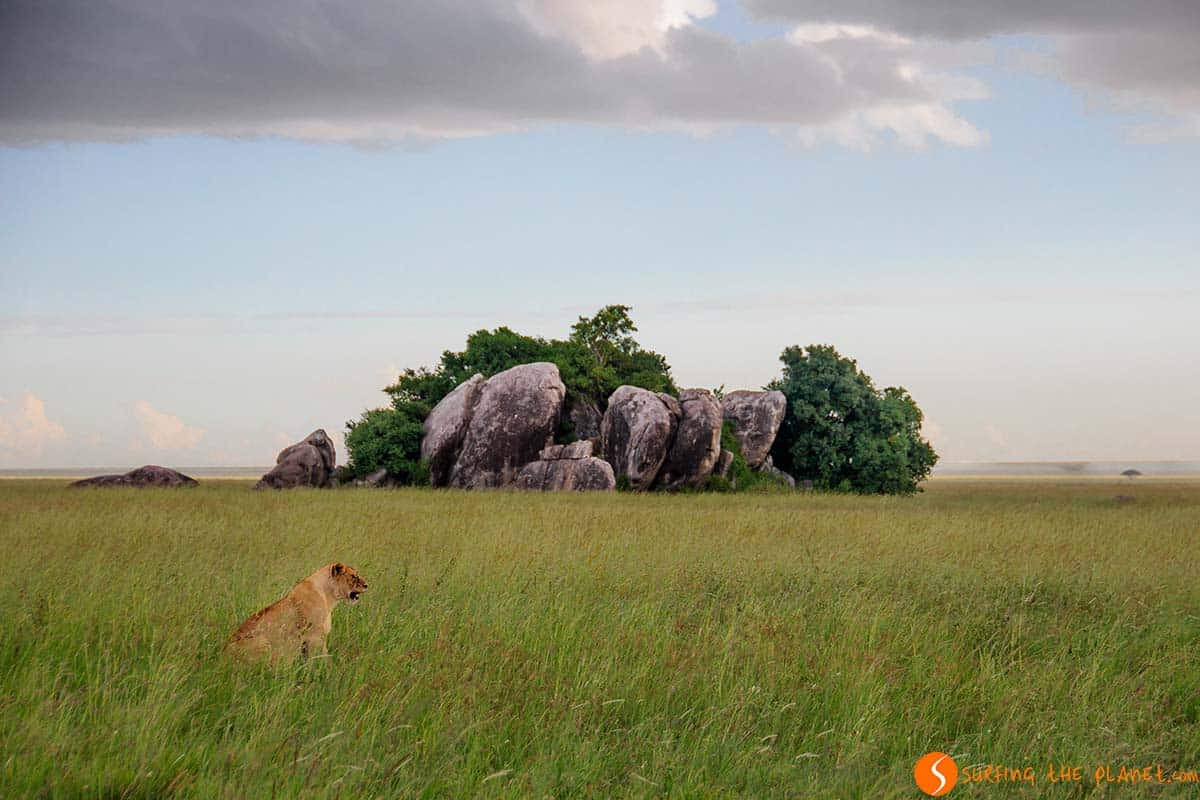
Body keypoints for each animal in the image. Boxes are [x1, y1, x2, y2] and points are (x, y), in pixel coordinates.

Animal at [226, 562, 368, 662]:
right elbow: (323, 659)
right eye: (353, 577)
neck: (328, 597)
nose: (367, 585)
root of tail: (223, 655)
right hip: (262, 642)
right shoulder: (315, 636)